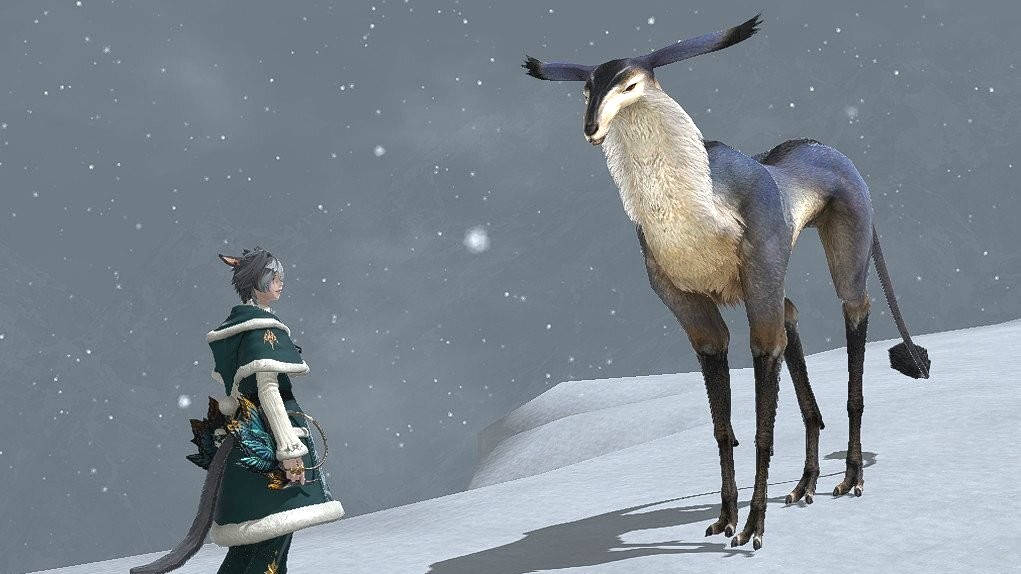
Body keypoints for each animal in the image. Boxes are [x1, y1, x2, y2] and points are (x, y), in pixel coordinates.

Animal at [523, 14, 930, 549]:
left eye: (630, 85)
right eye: (586, 88)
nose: (591, 128)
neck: (698, 217)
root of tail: (829, 150)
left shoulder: (757, 301)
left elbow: (761, 431)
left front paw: (754, 528)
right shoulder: (697, 320)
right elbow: (722, 430)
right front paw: (726, 519)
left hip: (840, 259)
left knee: (855, 312)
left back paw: (850, 478)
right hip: (776, 293)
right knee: (796, 319)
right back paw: (804, 486)